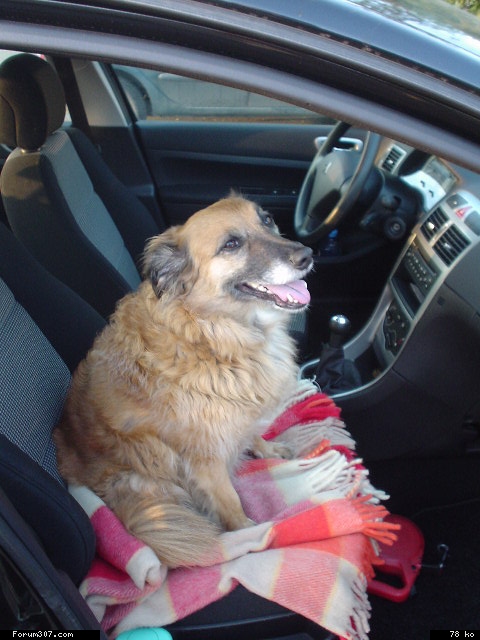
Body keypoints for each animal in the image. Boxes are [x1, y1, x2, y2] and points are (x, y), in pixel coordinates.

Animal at [54, 196, 313, 567]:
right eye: (231, 244)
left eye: (267, 220)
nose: (306, 255)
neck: (210, 332)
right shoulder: (206, 461)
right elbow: (230, 503)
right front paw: (248, 532)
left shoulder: (238, 416)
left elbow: (252, 432)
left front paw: (268, 448)